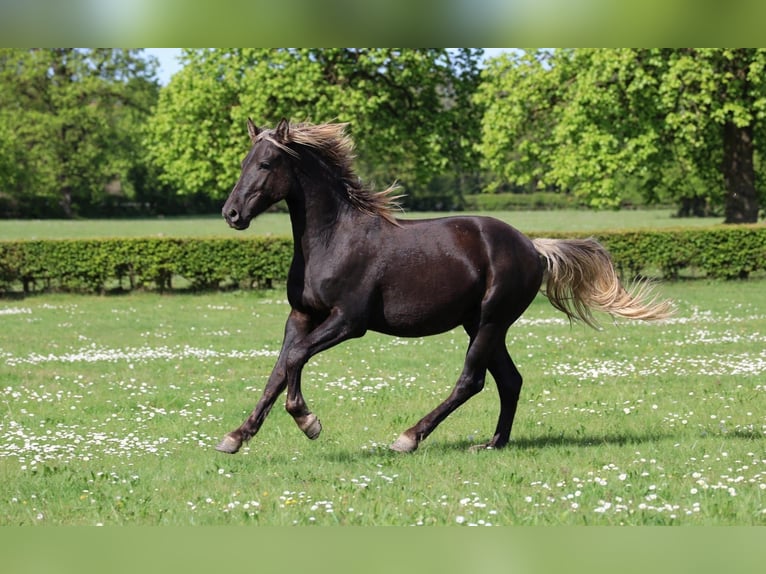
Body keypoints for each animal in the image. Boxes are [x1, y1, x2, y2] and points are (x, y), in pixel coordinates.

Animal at [217, 118, 672, 455]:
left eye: (265, 165)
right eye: (243, 162)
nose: (231, 214)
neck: (334, 238)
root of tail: (532, 247)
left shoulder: (348, 321)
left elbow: (295, 359)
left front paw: (308, 421)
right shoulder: (301, 315)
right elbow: (280, 368)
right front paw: (236, 437)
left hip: (490, 321)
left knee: (472, 381)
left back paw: (409, 438)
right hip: (480, 325)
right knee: (510, 380)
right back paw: (492, 444)